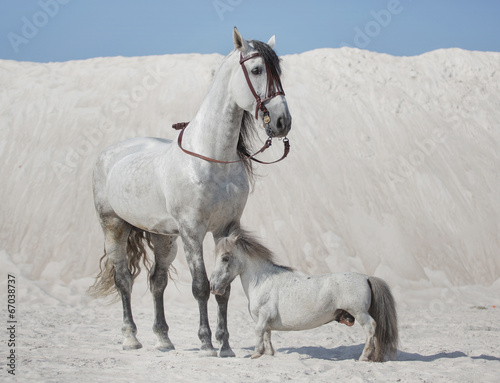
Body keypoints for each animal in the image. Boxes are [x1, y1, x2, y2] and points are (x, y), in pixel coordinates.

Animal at [89, 28, 292, 358]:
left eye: (279, 71)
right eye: (256, 70)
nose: (282, 122)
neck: (211, 158)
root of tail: (109, 154)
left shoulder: (225, 229)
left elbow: (223, 288)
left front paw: (226, 345)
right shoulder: (192, 232)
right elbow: (201, 286)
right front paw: (207, 343)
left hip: (164, 238)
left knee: (156, 281)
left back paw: (163, 339)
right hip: (114, 228)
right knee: (123, 280)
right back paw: (131, 337)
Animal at [210, 224, 398, 362]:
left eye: (225, 258)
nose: (213, 286)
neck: (262, 281)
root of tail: (366, 277)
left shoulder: (263, 316)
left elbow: (259, 332)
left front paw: (256, 354)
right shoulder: (266, 321)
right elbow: (267, 335)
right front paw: (269, 353)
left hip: (359, 312)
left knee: (371, 327)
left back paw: (364, 356)